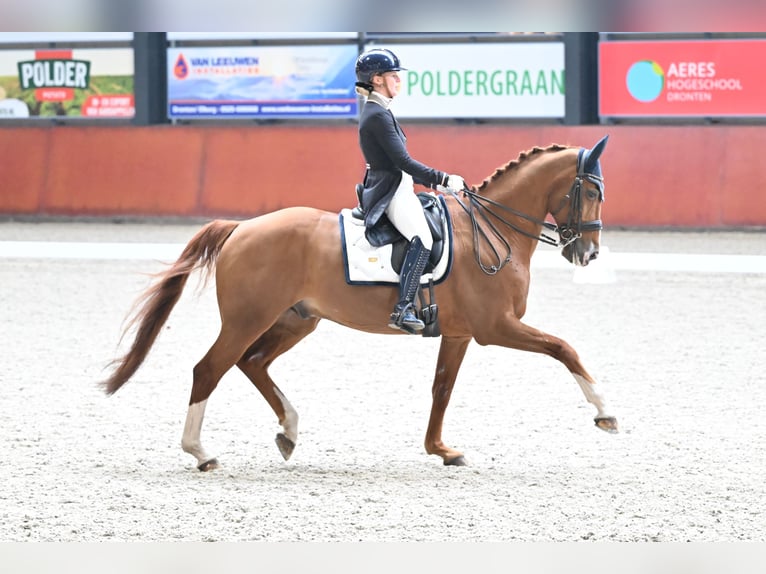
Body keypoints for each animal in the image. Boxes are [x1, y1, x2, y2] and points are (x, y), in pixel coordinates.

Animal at [102, 136, 616, 472]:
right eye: (591, 191)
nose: (589, 254)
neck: (490, 231)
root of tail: (242, 227)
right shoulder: (496, 327)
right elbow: (565, 348)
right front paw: (604, 412)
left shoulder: (460, 333)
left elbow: (441, 389)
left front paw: (441, 450)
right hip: (247, 319)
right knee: (210, 369)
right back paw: (202, 453)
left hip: (296, 321)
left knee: (253, 363)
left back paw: (288, 431)